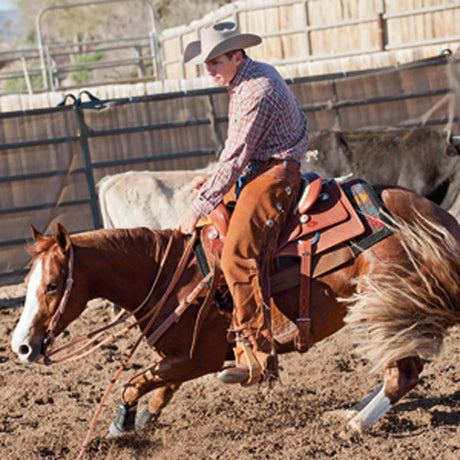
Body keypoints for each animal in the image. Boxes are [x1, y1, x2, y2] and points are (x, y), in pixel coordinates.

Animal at [9, 181, 460, 450]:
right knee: (402, 367)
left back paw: (351, 426)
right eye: (28, 282)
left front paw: (121, 427)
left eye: (53, 286)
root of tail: (428, 216)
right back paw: (349, 412)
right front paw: (140, 424)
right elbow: (157, 390)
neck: (170, 275)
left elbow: (134, 383)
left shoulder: (199, 358)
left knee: (403, 373)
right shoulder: (179, 357)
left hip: (389, 301)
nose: (22, 346)